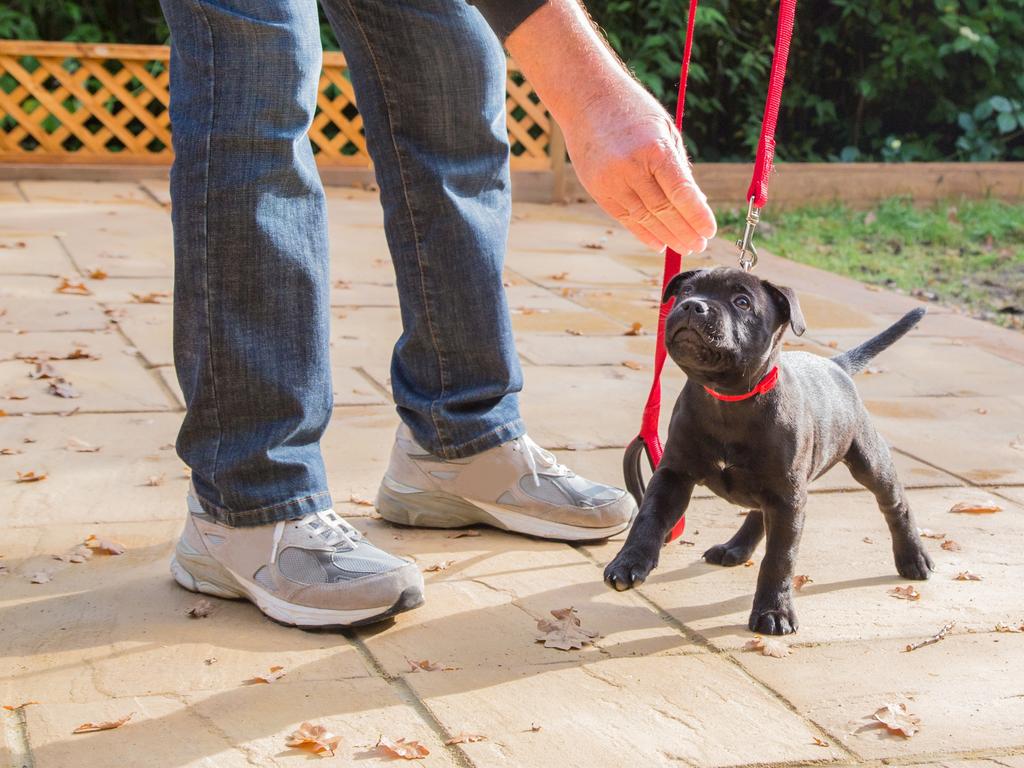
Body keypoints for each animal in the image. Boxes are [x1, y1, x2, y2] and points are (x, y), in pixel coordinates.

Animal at [602, 268, 933, 634]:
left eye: (742, 302)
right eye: (686, 291)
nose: (692, 306)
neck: (728, 398)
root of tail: (836, 365)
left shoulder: (788, 498)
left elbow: (780, 558)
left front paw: (774, 611)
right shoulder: (673, 474)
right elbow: (649, 517)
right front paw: (629, 562)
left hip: (867, 460)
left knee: (895, 504)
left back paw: (913, 557)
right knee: (758, 511)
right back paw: (735, 547)